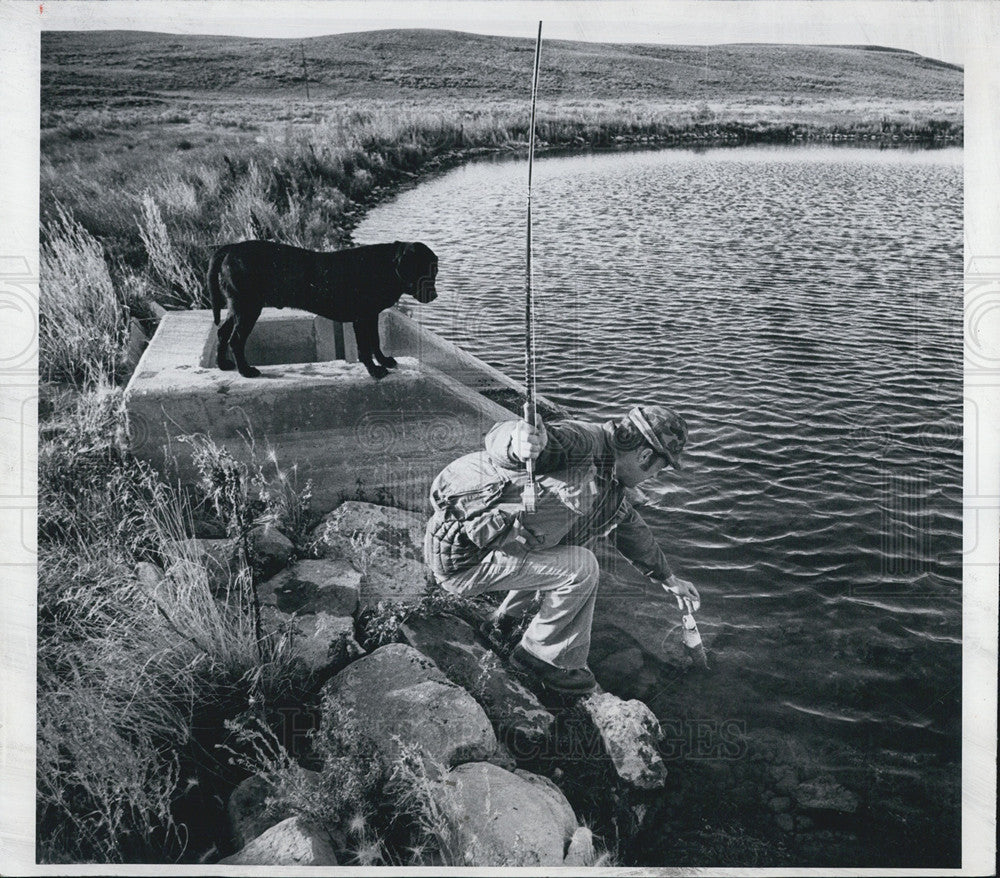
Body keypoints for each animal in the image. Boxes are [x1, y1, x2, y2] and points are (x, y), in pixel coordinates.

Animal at [207, 241, 438, 378]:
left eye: (434, 271)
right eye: (426, 270)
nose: (435, 296)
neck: (384, 267)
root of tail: (230, 248)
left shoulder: (372, 316)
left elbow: (375, 342)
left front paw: (384, 361)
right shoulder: (361, 318)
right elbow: (364, 348)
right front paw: (374, 370)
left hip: (237, 308)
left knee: (222, 332)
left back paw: (223, 364)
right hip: (248, 308)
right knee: (235, 339)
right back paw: (246, 371)